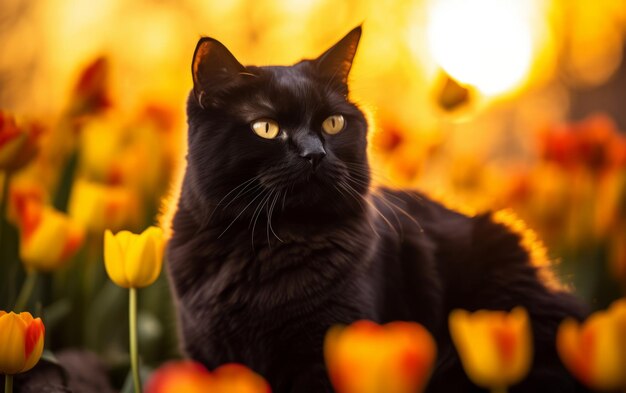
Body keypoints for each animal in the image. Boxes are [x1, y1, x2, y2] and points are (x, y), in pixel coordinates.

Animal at [165, 26, 584, 390]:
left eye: (333, 123)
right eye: (266, 128)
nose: (314, 154)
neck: (264, 245)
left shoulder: (326, 350)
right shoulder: (207, 355)